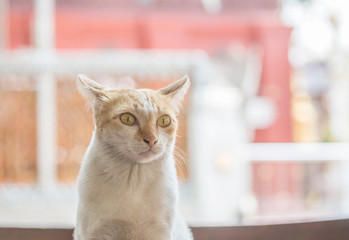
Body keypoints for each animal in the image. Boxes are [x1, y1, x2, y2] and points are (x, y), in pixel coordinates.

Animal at [73, 74, 193, 240]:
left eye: (164, 120)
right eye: (127, 119)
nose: (151, 139)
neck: (134, 181)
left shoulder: (161, 232)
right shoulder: (94, 233)